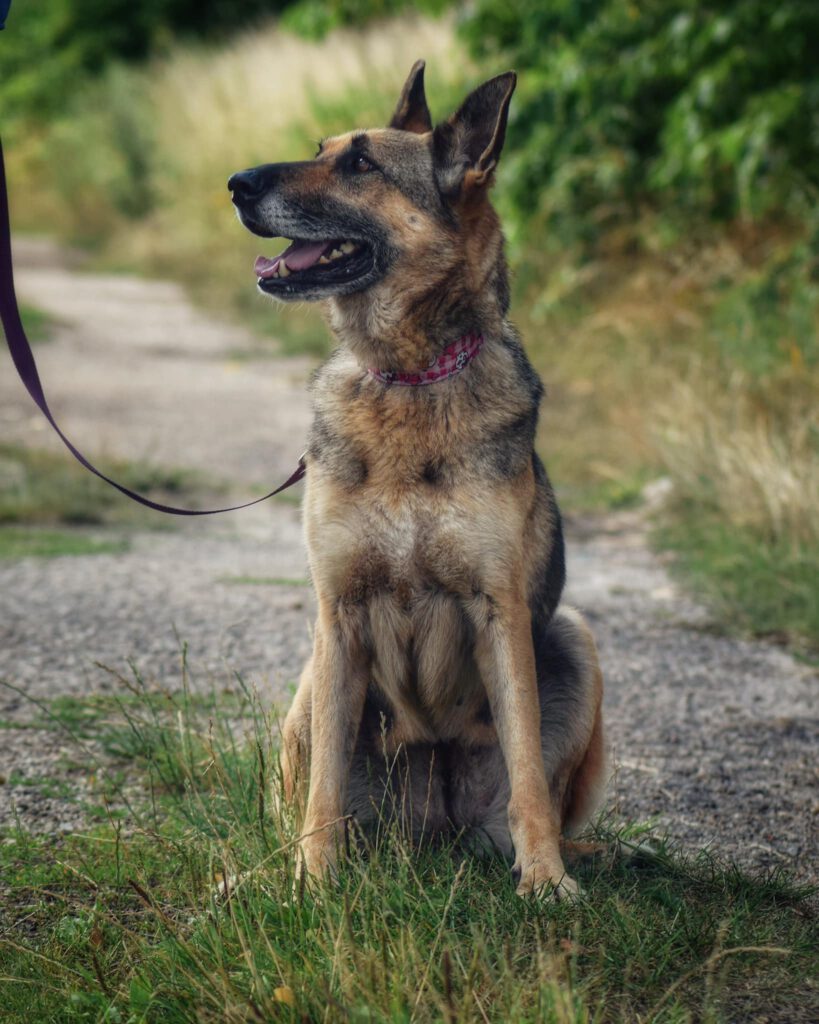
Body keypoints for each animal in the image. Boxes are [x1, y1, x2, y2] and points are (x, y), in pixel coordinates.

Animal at [227, 61, 606, 897]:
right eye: (320, 149)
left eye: (361, 164)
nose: (234, 182)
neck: (407, 378)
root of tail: (431, 831)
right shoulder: (338, 616)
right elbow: (325, 786)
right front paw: (312, 881)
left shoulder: (500, 614)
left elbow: (527, 773)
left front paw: (544, 878)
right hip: (310, 679)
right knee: (304, 789)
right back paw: (262, 873)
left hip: (571, 639)